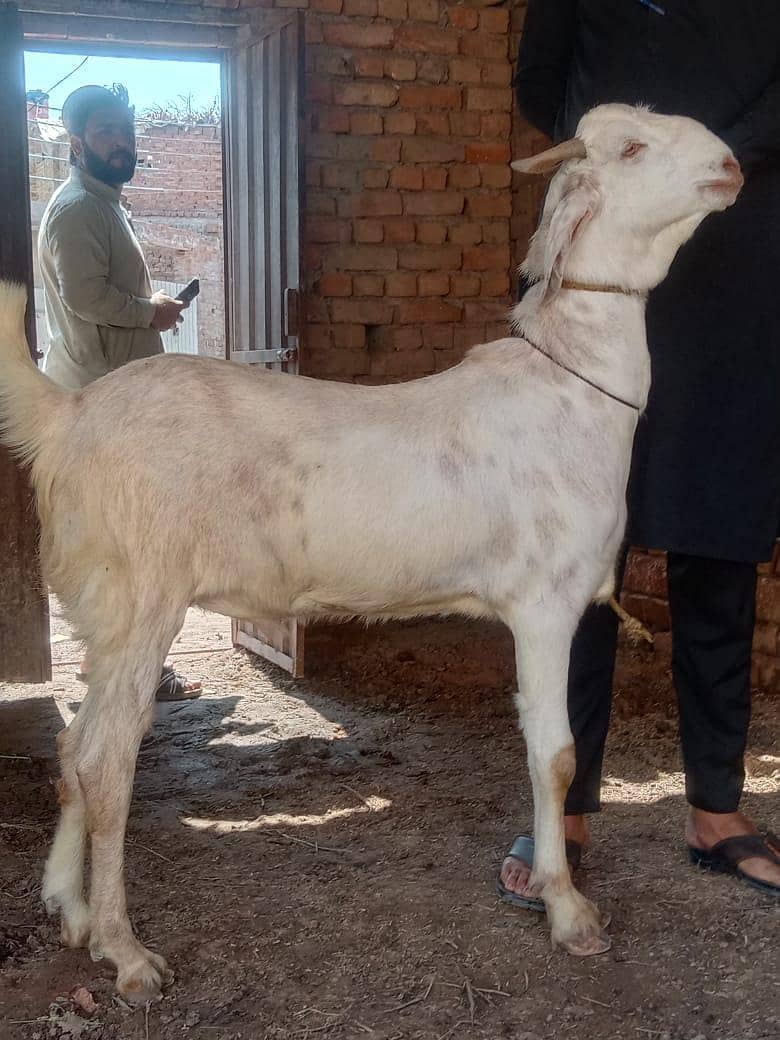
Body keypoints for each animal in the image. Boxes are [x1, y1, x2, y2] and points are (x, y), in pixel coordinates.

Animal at [0, 105, 742, 1002]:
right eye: (632, 147)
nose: (731, 164)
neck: (570, 388)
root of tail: (64, 416)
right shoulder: (543, 604)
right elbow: (556, 758)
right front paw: (568, 911)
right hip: (141, 595)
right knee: (107, 764)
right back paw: (125, 949)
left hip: (104, 611)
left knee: (74, 750)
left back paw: (69, 909)